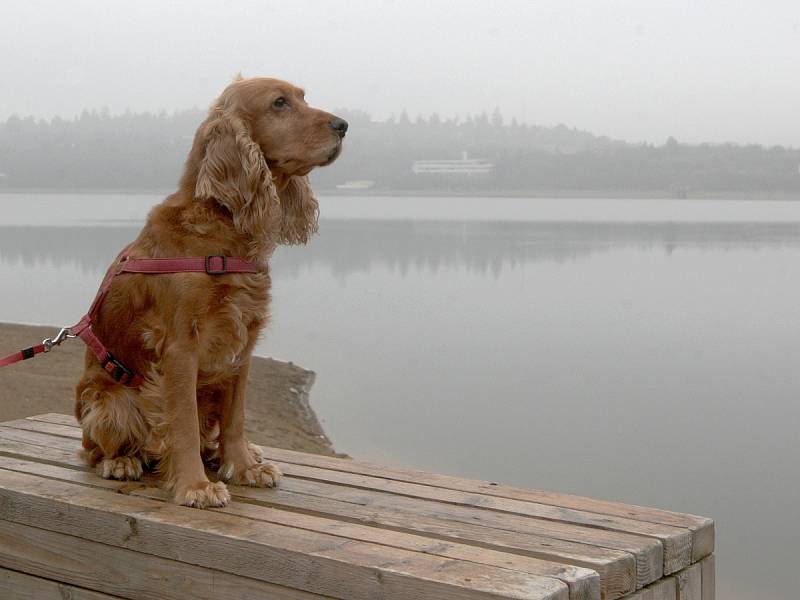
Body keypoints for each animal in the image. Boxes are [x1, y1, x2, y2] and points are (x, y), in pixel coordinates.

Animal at [75, 77, 346, 508]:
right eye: (279, 103)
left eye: (303, 97)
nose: (343, 125)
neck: (223, 230)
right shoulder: (180, 348)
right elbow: (182, 424)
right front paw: (195, 486)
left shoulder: (243, 342)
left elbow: (236, 419)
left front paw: (243, 466)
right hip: (109, 401)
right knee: (91, 449)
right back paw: (120, 462)